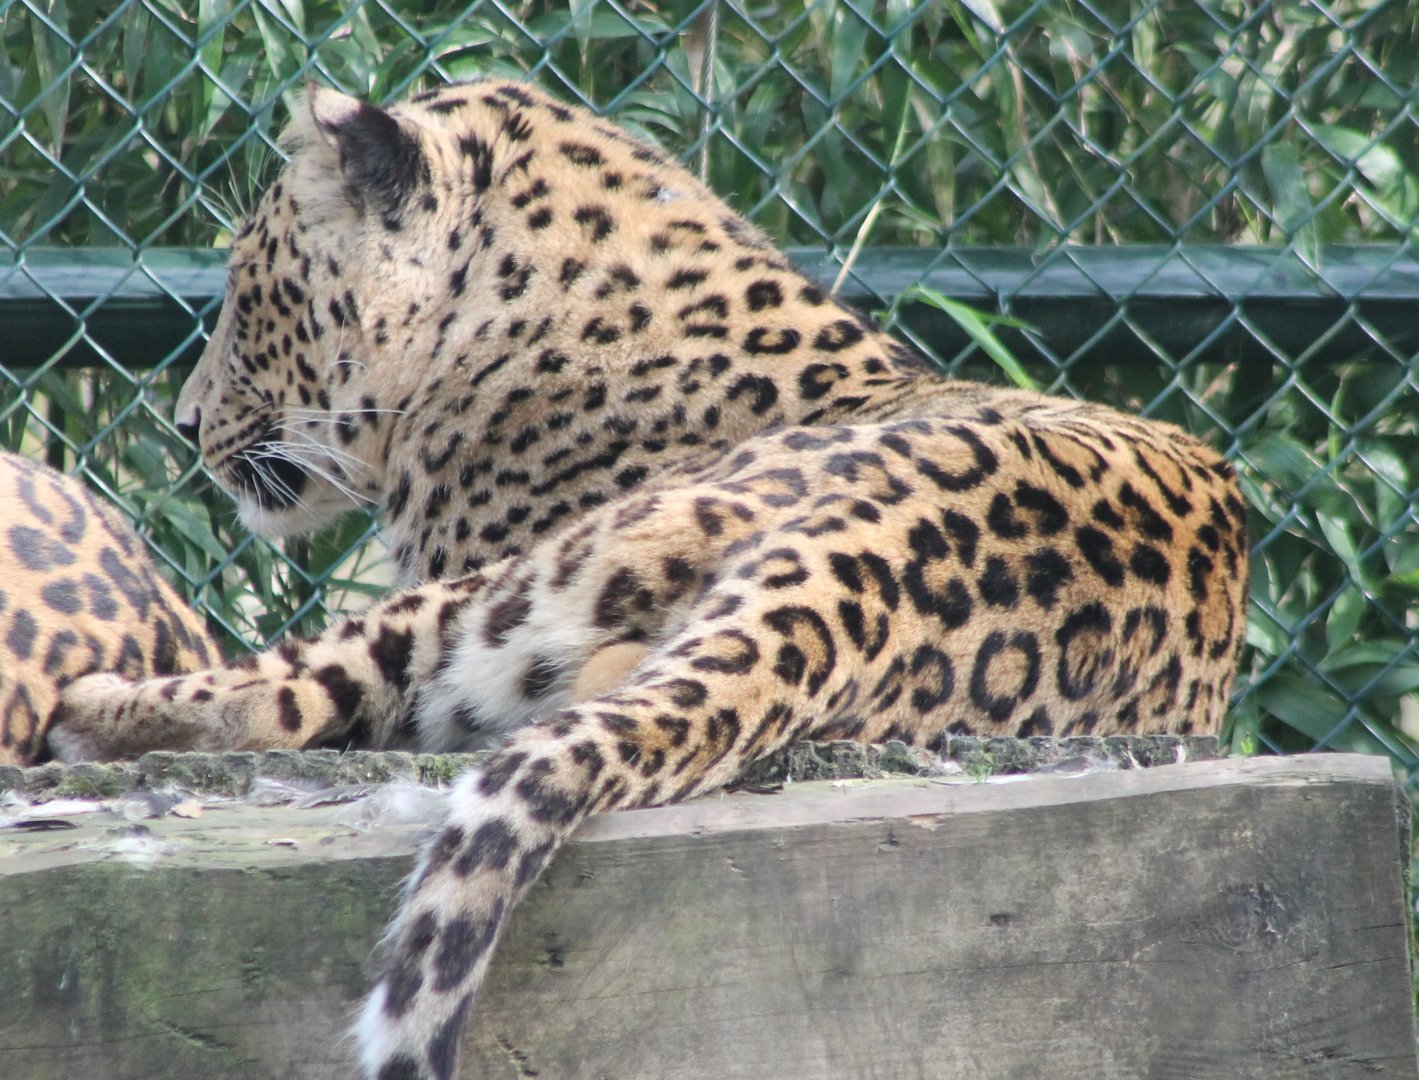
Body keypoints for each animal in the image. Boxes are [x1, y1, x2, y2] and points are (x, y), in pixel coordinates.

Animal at [49, 79, 1248, 1078]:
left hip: (503, 591)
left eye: (250, 291)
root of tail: (860, 582)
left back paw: (88, 710)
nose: (184, 422)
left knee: (288, 691)